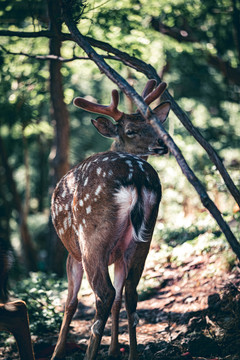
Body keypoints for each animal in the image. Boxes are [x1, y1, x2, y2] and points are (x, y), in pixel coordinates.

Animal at [50, 79, 171, 360]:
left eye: (152, 125)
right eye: (131, 130)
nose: (161, 145)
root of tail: (137, 177)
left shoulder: (71, 253)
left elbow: (70, 303)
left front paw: (57, 352)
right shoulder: (118, 254)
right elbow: (119, 300)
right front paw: (115, 349)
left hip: (91, 237)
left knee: (104, 295)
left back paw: (90, 353)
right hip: (144, 236)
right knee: (130, 292)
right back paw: (132, 354)